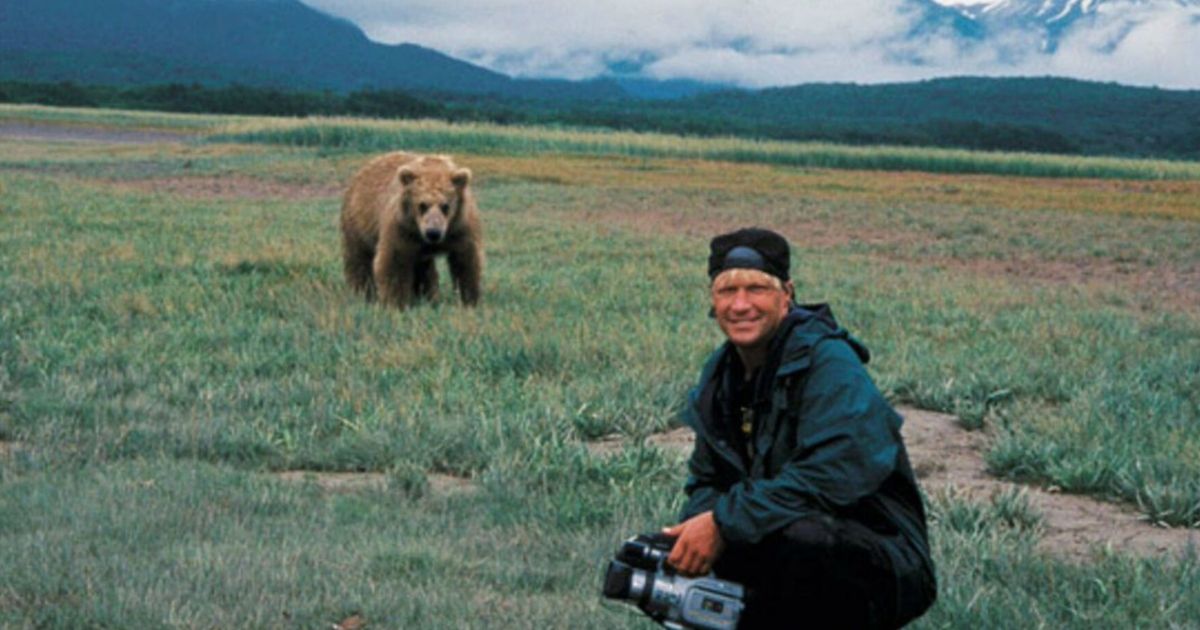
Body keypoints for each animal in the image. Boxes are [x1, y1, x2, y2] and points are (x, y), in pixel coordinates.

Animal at [338, 153, 482, 309]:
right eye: (422, 205)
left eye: (445, 206)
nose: (433, 232)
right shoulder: (402, 228)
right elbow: (395, 262)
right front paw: (396, 303)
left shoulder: (461, 227)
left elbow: (466, 261)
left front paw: (469, 300)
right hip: (358, 224)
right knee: (359, 259)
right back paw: (363, 292)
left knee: (424, 269)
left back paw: (427, 296)